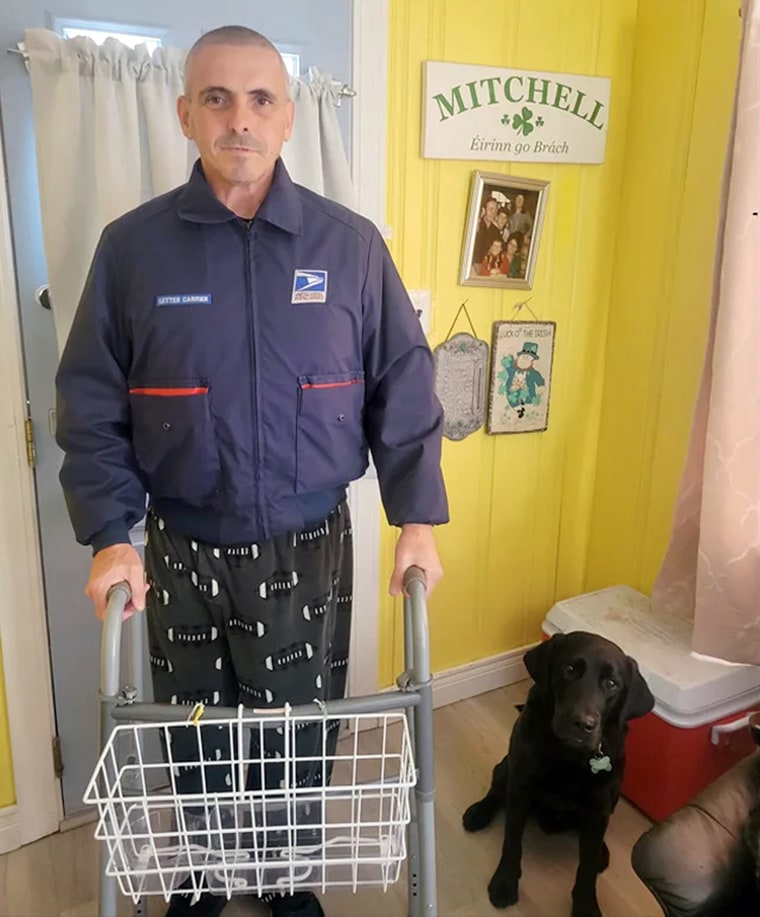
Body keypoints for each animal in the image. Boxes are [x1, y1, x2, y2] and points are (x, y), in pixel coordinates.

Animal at [460, 628, 656, 916]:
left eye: (611, 683)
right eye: (570, 669)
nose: (583, 723)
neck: (569, 756)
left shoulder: (599, 806)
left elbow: (586, 867)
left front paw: (586, 905)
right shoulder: (520, 788)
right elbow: (512, 842)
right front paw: (505, 882)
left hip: (613, 798)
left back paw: (602, 851)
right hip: (506, 768)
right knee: (496, 791)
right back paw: (478, 813)